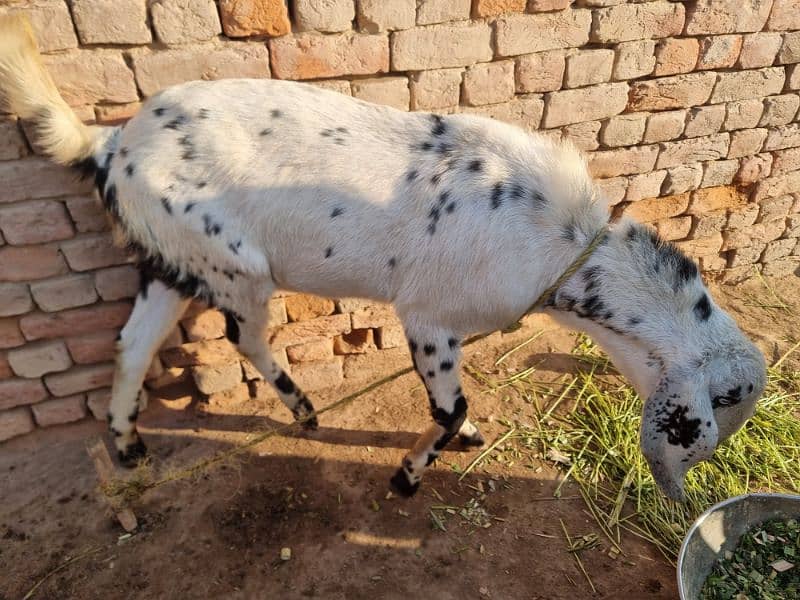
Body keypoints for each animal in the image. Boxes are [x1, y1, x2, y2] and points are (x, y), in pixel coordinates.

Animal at [3, 15, 768, 502]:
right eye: (719, 411)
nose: (687, 490)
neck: (561, 243)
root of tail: (111, 145)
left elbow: (457, 406)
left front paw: (460, 441)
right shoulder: (428, 317)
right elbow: (448, 409)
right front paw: (409, 474)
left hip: (169, 257)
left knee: (132, 346)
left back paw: (129, 443)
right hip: (234, 265)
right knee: (242, 336)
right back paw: (304, 409)